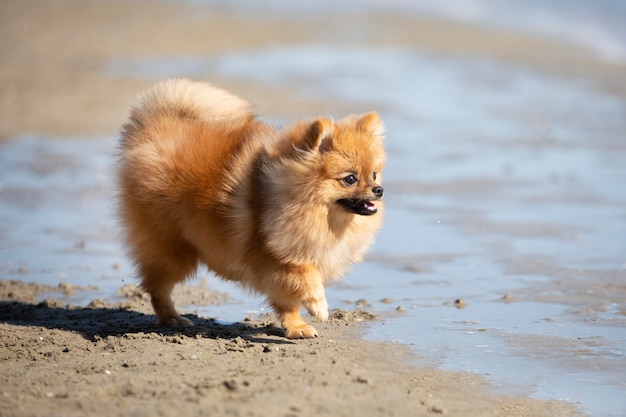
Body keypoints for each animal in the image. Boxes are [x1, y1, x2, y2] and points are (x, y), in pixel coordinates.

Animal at [114, 79, 382, 338]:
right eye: (350, 179)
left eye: (374, 174)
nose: (379, 190)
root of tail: (154, 127)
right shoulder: (270, 258)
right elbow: (306, 276)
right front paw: (319, 306)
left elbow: (288, 301)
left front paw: (295, 327)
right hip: (172, 250)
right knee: (157, 287)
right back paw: (171, 318)